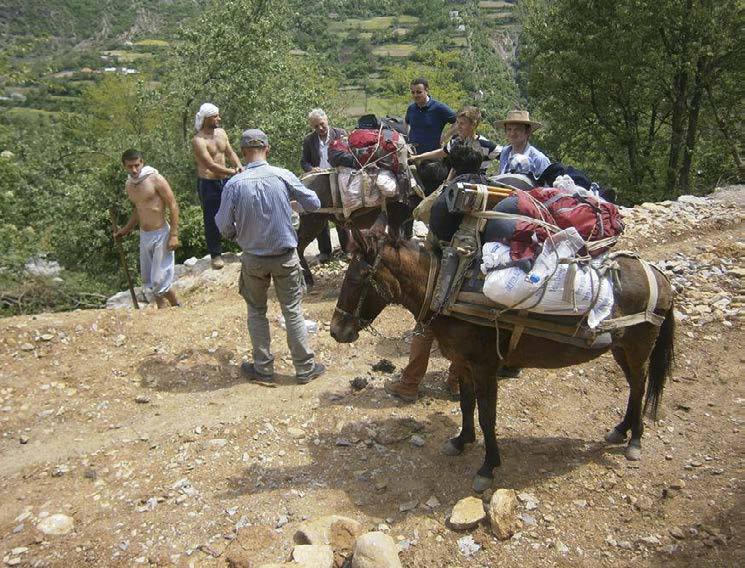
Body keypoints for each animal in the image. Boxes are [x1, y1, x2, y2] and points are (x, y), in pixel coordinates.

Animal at [330, 220, 676, 494]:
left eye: (357, 278)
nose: (336, 331)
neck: (447, 288)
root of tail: (657, 274)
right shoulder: (462, 363)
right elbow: (466, 404)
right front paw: (461, 440)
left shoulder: (485, 368)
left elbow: (487, 416)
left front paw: (488, 466)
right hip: (620, 348)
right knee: (634, 386)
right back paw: (622, 429)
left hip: (637, 347)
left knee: (640, 385)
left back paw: (635, 440)